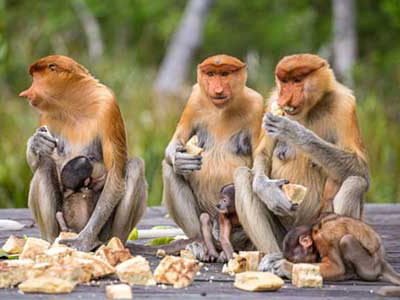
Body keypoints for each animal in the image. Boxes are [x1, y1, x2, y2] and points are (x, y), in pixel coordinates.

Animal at [19, 54, 148, 251]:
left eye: (35, 78)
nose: (26, 93)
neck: (73, 103)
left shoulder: (107, 105)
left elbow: (115, 175)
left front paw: (83, 242)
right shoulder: (45, 116)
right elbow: (41, 163)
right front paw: (36, 142)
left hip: (105, 230)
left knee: (135, 166)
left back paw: (110, 243)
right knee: (45, 167)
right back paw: (52, 241)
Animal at [161, 54, 264, 255]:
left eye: (224, 74)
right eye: (210, 74)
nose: (217, 90)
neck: (222, 109)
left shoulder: (257, 106)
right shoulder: (194, 99)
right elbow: (176, 141)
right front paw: (180, 161)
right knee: (169, 170)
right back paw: (199, 243)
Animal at [233, 53, 370, 253]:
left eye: (297, 80)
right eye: (285, 81)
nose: (285, 98)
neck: (311, 107)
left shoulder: (345, 105)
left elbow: (361, 169)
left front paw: (292, 131)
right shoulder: (272, 102)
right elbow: (263, 154)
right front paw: (267, 190)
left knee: (355, 182)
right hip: (283, 235)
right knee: (243, 175)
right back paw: (275, 255)